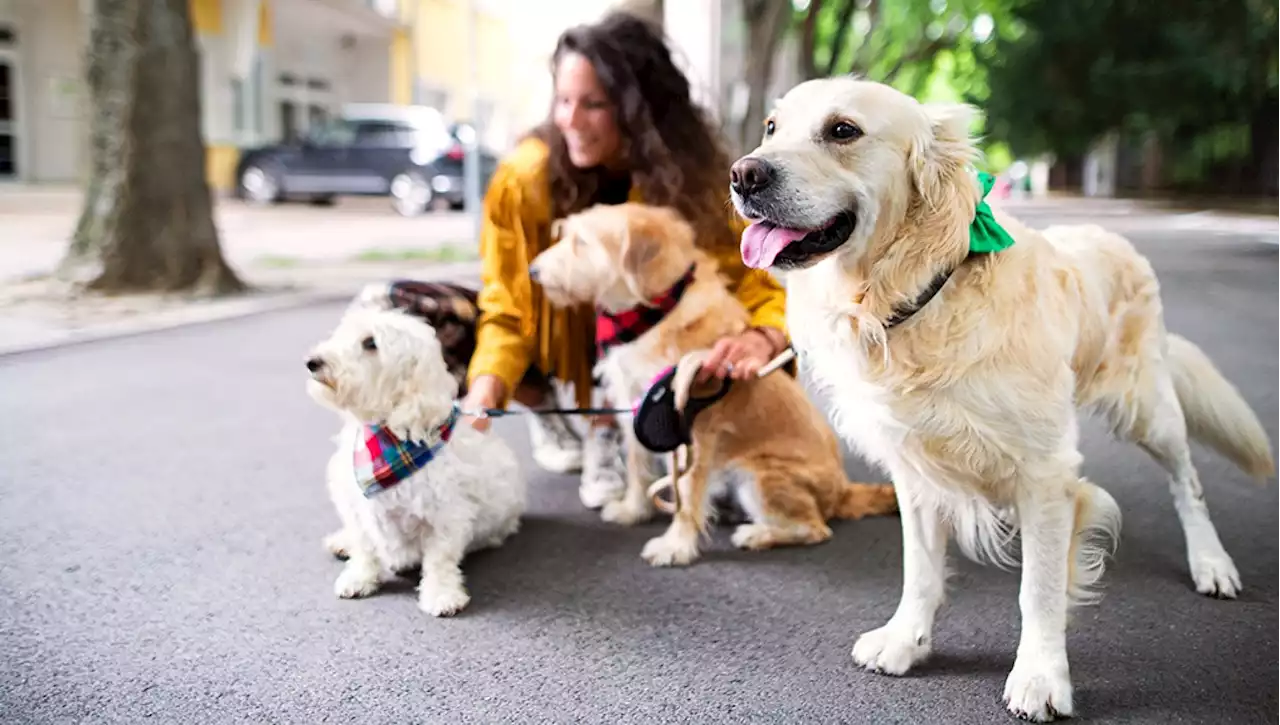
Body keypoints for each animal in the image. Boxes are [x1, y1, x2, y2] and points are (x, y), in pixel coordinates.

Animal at [304, 307, 524, 619]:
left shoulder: (446, 514)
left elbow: (440, 559)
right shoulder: (355, 505)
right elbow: (364, 545)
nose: (312, 362)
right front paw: (359, 576)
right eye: (342, 333)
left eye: (370, 343)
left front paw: (442, 593)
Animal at [524, 203, 896, 568]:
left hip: (758, 475)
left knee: (816, 528)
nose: (533, 271)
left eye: (581, 242)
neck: (653, 314)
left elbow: (687, 490)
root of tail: (844, 490)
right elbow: (636, 465)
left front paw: (676, 545)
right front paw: (633, 510)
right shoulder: (637, 410)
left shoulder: (693, 429)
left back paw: (757, 534)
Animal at [727, 76, 1274, 722]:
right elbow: (920, 568)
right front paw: (906, 639)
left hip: (1147, 409)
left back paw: (1211, 562)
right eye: (771, 128)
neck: (922, 293)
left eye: (843, 130)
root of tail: (1114, 237)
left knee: (1187, 482)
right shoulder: (914, 465)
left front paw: (1039, 676)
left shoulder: (1046, 472)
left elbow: (1038, 588)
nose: (743, 174)